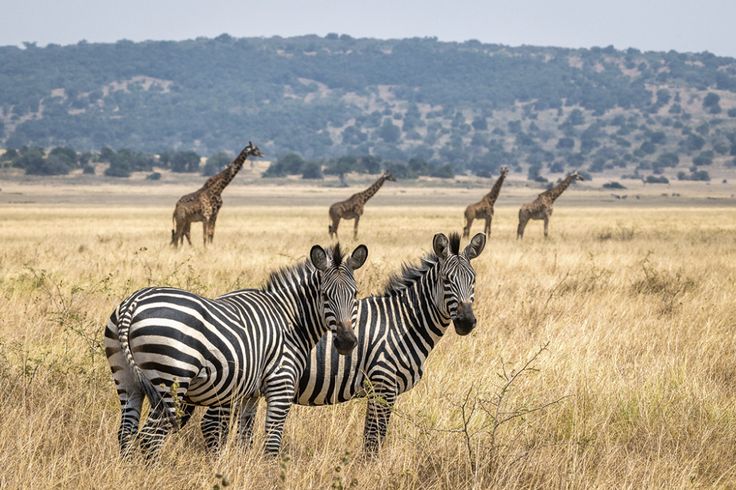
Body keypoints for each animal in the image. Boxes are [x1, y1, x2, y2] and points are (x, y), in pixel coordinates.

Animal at [103, 243, 368, 458]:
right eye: (324, 295)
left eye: (355, 294)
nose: (347, 342)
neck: (289, 320)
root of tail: (133, 303)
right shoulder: (280, 385)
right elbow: (272, 441)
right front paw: (270, 475)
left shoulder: (250, 393)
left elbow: (244, 436)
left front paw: (243, 467)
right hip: (170, 381)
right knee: (150, 437)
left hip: (127, 379)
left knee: (126, 432)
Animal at [223, 232, 486, 454]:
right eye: (446, 280)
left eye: (473, 280)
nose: (466, 322)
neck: (403, 323)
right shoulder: (383, 385)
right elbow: (373, 440)